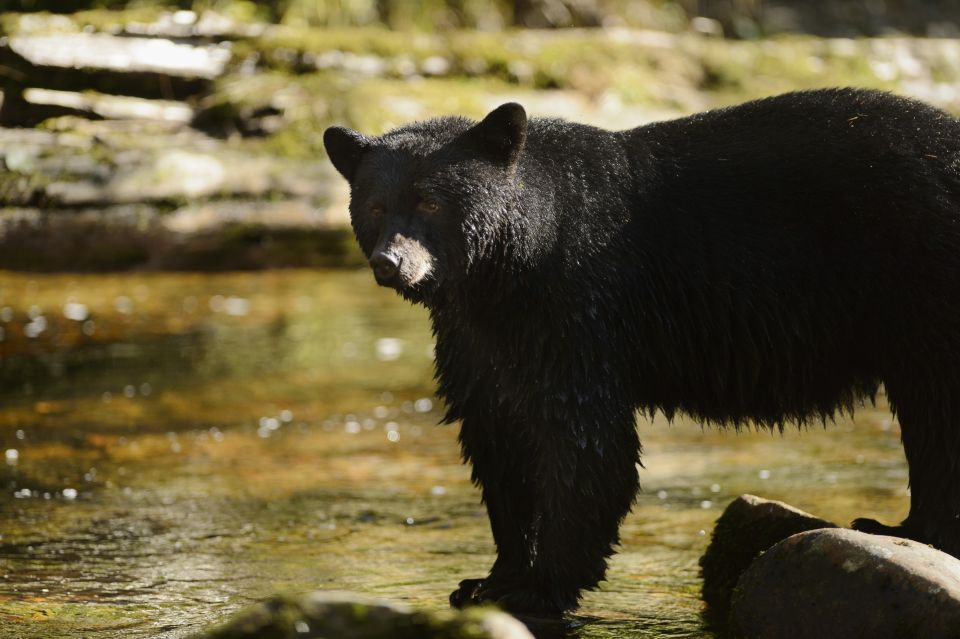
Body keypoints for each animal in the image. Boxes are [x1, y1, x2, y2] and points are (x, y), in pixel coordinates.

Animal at [322, 87, 960, 616]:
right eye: (374, 206)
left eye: (430, 202)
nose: (391, 263)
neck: (508, 269)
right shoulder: (478, 337)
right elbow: (498, 439)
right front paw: (486, 579)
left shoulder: (577, 305)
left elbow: (585, 442)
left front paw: (540, 586)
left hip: (924, 277)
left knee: (937, 414)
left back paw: (908, 527)